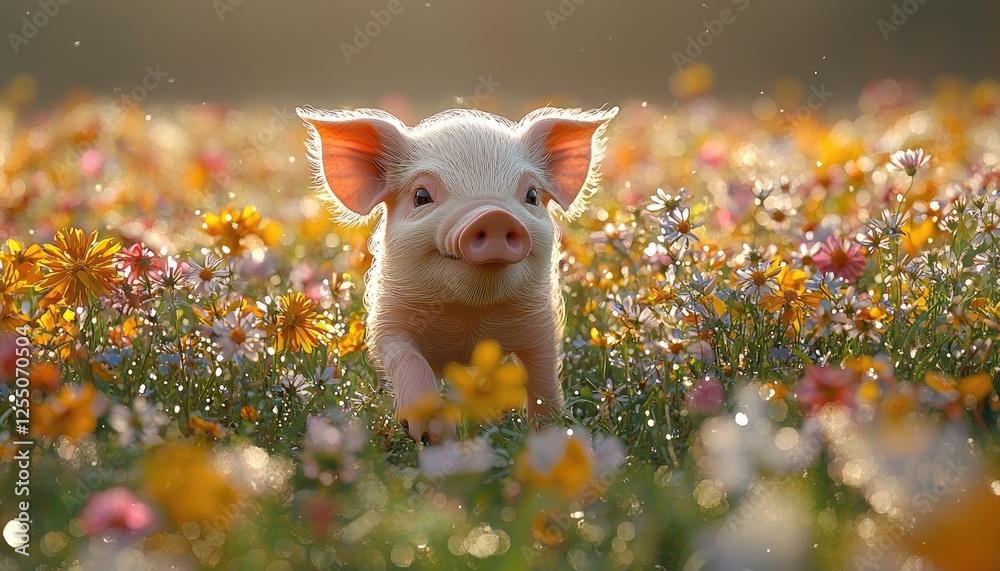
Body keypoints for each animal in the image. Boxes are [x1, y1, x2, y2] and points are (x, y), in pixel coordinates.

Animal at [296, 105, 618, 443]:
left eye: (531, 195)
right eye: (421, 196)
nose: (495, 216)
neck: (468, 321)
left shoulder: (541, 323)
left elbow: (543, 377)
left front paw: (551, 435)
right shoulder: (387, 321)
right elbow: (405, 357)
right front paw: (430, 434)